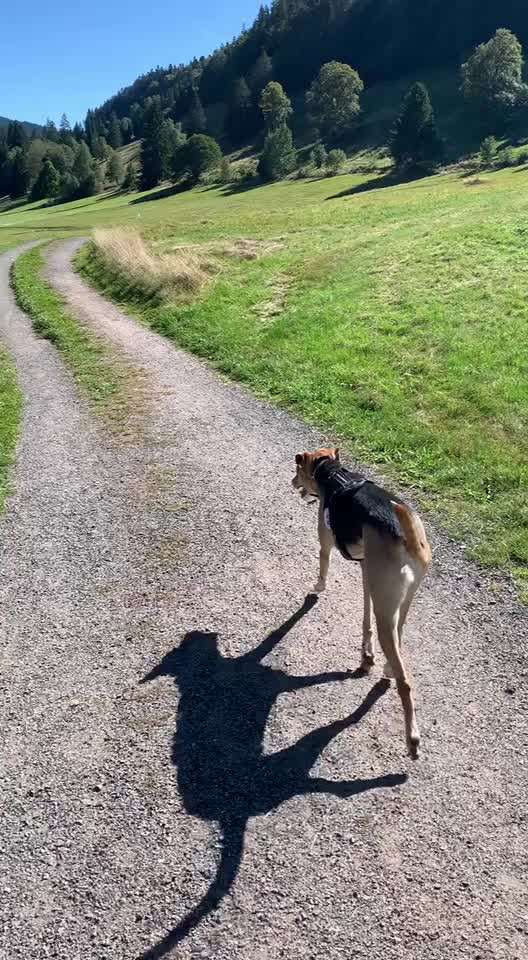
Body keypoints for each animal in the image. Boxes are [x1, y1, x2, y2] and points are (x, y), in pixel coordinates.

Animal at [290, 448, 432, 756]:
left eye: (298, 470)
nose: (292, 482)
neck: (332, 473)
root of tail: (406, 535)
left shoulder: (325, 543)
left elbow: (322, 569)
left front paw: (317, 588)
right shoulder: (367, 571)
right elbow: (364, 614)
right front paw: (366, 654)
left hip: (387, 612)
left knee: (406, 683)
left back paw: (412, 738)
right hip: (397, 604)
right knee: (397, 641)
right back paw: (386, 667)